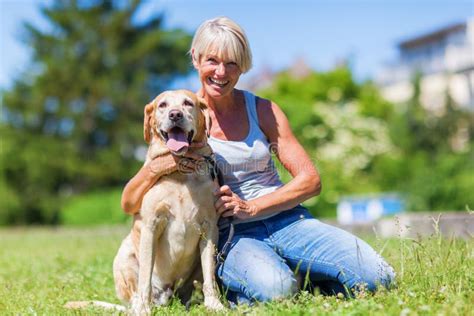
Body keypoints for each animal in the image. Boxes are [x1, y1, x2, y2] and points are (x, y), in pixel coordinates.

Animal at [115, 89, 224, 314]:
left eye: (188, 103)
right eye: (162, 105)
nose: (175, 115)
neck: (180, 175)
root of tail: (166, 294)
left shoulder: (209, 228)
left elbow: (210, 275)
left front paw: (214, 305)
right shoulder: (151, 225)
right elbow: (145, 277)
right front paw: (144, 309)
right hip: (124, 255)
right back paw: (138, 306)